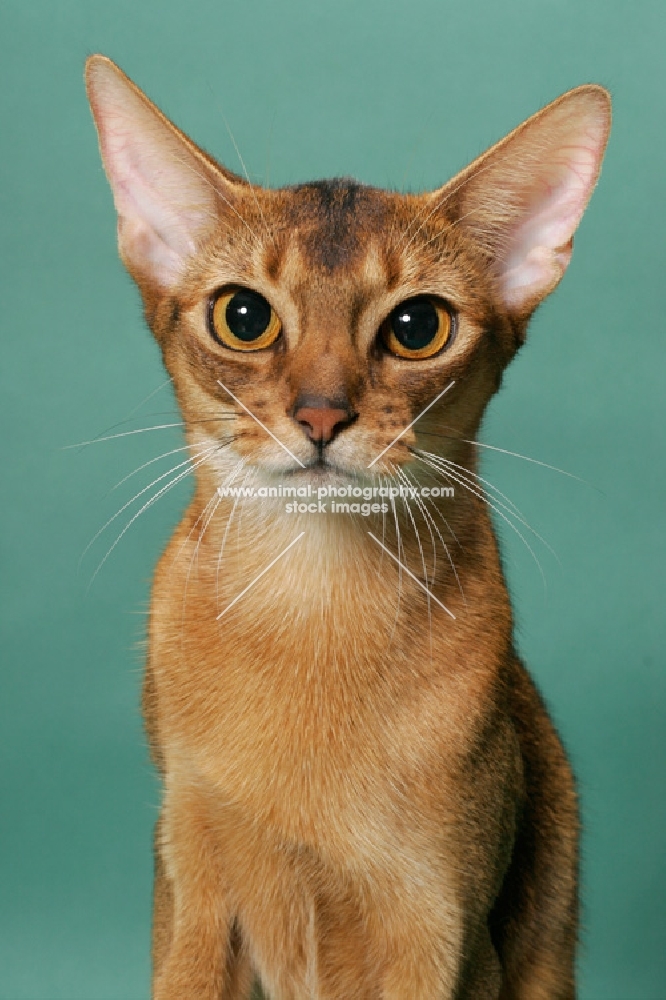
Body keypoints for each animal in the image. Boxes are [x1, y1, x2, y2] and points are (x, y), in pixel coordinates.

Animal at [85, 54, 608, 1000]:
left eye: (417, 326)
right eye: (243, 316)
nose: (321, 415)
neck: (312, 611)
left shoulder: (440, 925)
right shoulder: (191, 894)